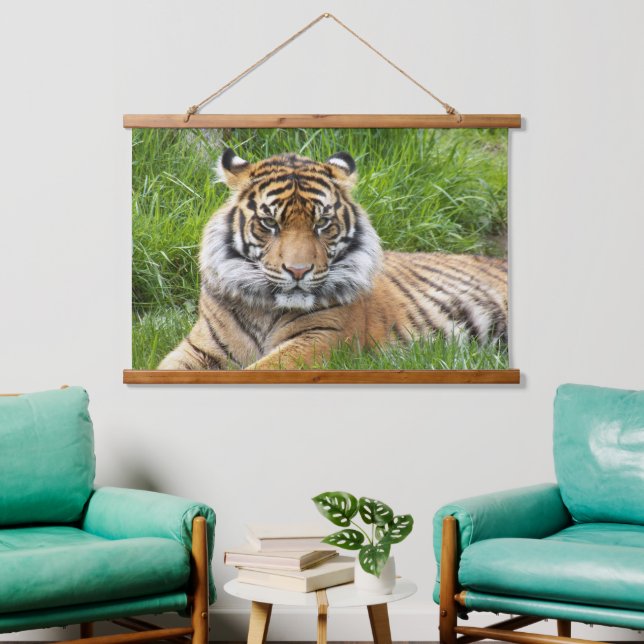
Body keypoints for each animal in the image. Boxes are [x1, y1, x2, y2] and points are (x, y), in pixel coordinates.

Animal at [158, 148, 507, 370]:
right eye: (270, 222)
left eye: (322, 223)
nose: (298, 271)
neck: (264, 309)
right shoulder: (200, 347)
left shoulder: (323, 338)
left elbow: (265, 367)